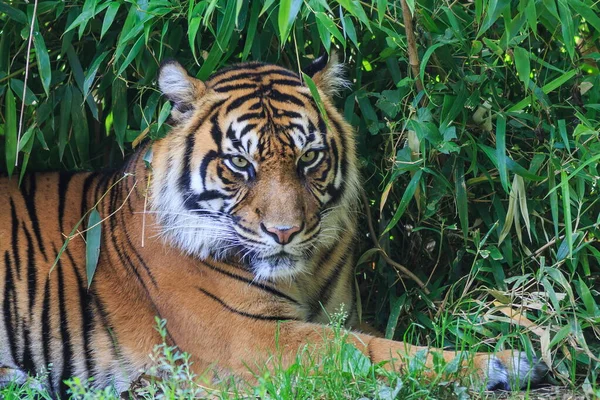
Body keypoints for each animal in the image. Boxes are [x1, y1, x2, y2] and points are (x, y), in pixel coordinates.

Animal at [0, 54, 544, 396]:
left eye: (309, 158)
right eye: (240, 164)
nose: (284, 233)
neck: (302, 274)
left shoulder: (340, 313)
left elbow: (377, 340)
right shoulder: (252, 337)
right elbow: (370, 351)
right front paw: (501, 362)